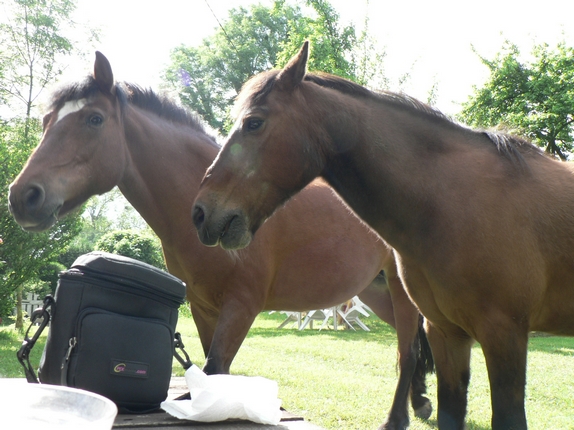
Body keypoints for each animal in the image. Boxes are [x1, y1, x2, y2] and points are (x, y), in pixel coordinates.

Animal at [7, 52, 432, 428]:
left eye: (94, 119)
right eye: (46, 121)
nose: (23, 196)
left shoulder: (241, 307)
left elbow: (216, 369)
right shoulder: (204, 307)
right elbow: (214, 373)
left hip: (400, 291)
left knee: (408, 351)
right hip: (376, 292)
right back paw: (421, 402)